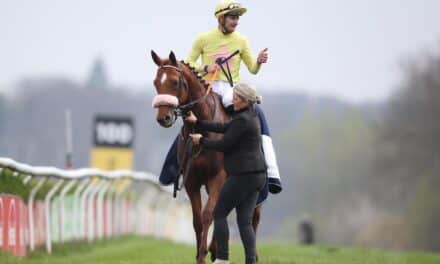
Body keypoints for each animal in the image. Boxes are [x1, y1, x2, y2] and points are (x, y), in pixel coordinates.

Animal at [151, 50, 262, 264]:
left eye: (175, 82)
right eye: (156, 82)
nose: (163, 118)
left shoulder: (217, 177)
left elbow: (208, 214)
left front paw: (203, 254)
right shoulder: (191, 180)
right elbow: (197, 219)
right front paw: (200, 255)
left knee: (253, 215)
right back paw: (215, 248)